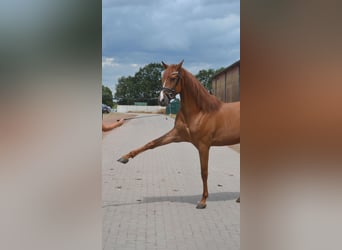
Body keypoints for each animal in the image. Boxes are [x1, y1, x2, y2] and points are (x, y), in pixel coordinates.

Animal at [118, 59, 240, 208]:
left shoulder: (204, 146)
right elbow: (151, 143)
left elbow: (204, 172)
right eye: (162, 77)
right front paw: (125, 157)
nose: (162, 100)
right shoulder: (176, 135)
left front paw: (203, 201)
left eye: (174, 78)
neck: (200, 112)